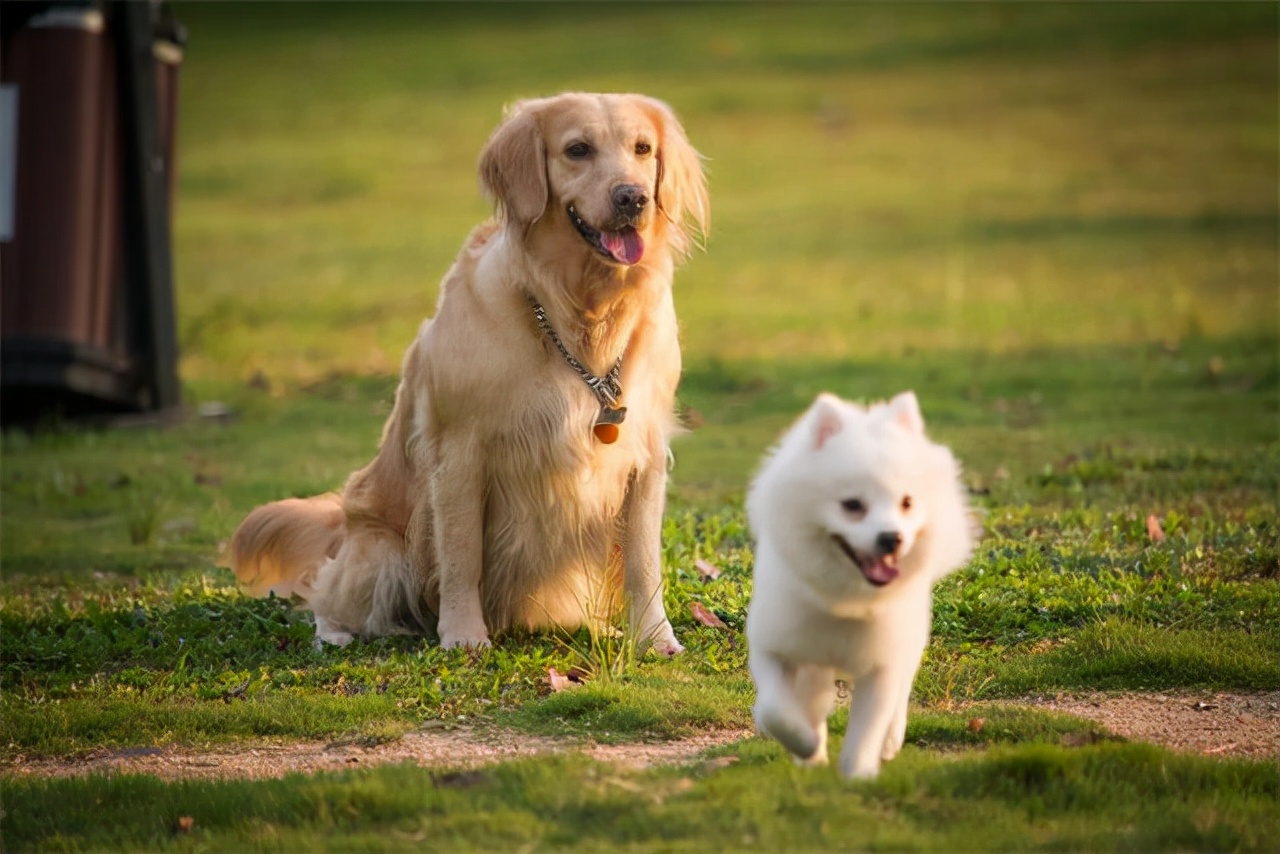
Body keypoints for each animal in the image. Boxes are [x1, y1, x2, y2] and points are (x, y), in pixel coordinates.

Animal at [747, 391, 972, 778]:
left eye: (907, 502)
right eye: (852, 505)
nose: (892, 538)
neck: (846, 601)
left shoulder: (881, 664)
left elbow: (868, 728)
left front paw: (858, 776)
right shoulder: (773, 646)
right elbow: (776, 711)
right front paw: (806, 746)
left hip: (909, 642)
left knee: (900, 695)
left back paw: (891, 741)